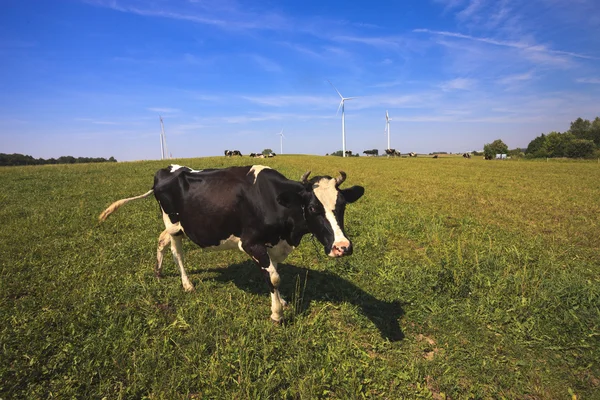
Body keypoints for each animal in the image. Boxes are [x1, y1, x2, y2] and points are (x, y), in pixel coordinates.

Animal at [97, 164, 366, 324]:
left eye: (342, 205)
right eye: (312, 208)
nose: (342, 247)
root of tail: (166, 170)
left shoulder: (274, 245)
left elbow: (274, 275)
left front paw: (281, 302)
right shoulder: (250, 243)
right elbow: (274, 277)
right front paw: (276, 314)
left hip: (175, 226)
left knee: (161, 240)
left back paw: (159, 272)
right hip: (174, 223)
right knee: (176, 251)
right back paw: (187, 284)